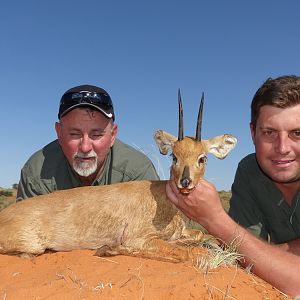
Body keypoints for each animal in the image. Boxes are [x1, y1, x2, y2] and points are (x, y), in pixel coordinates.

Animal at [0, 90, 237, 262]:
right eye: (174, 156)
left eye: (202, 158)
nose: (185, 182)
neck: (163, 201)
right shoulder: (139, 238)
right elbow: (182, 253)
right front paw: (108, 248)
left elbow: (198, 236)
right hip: (33, 245)